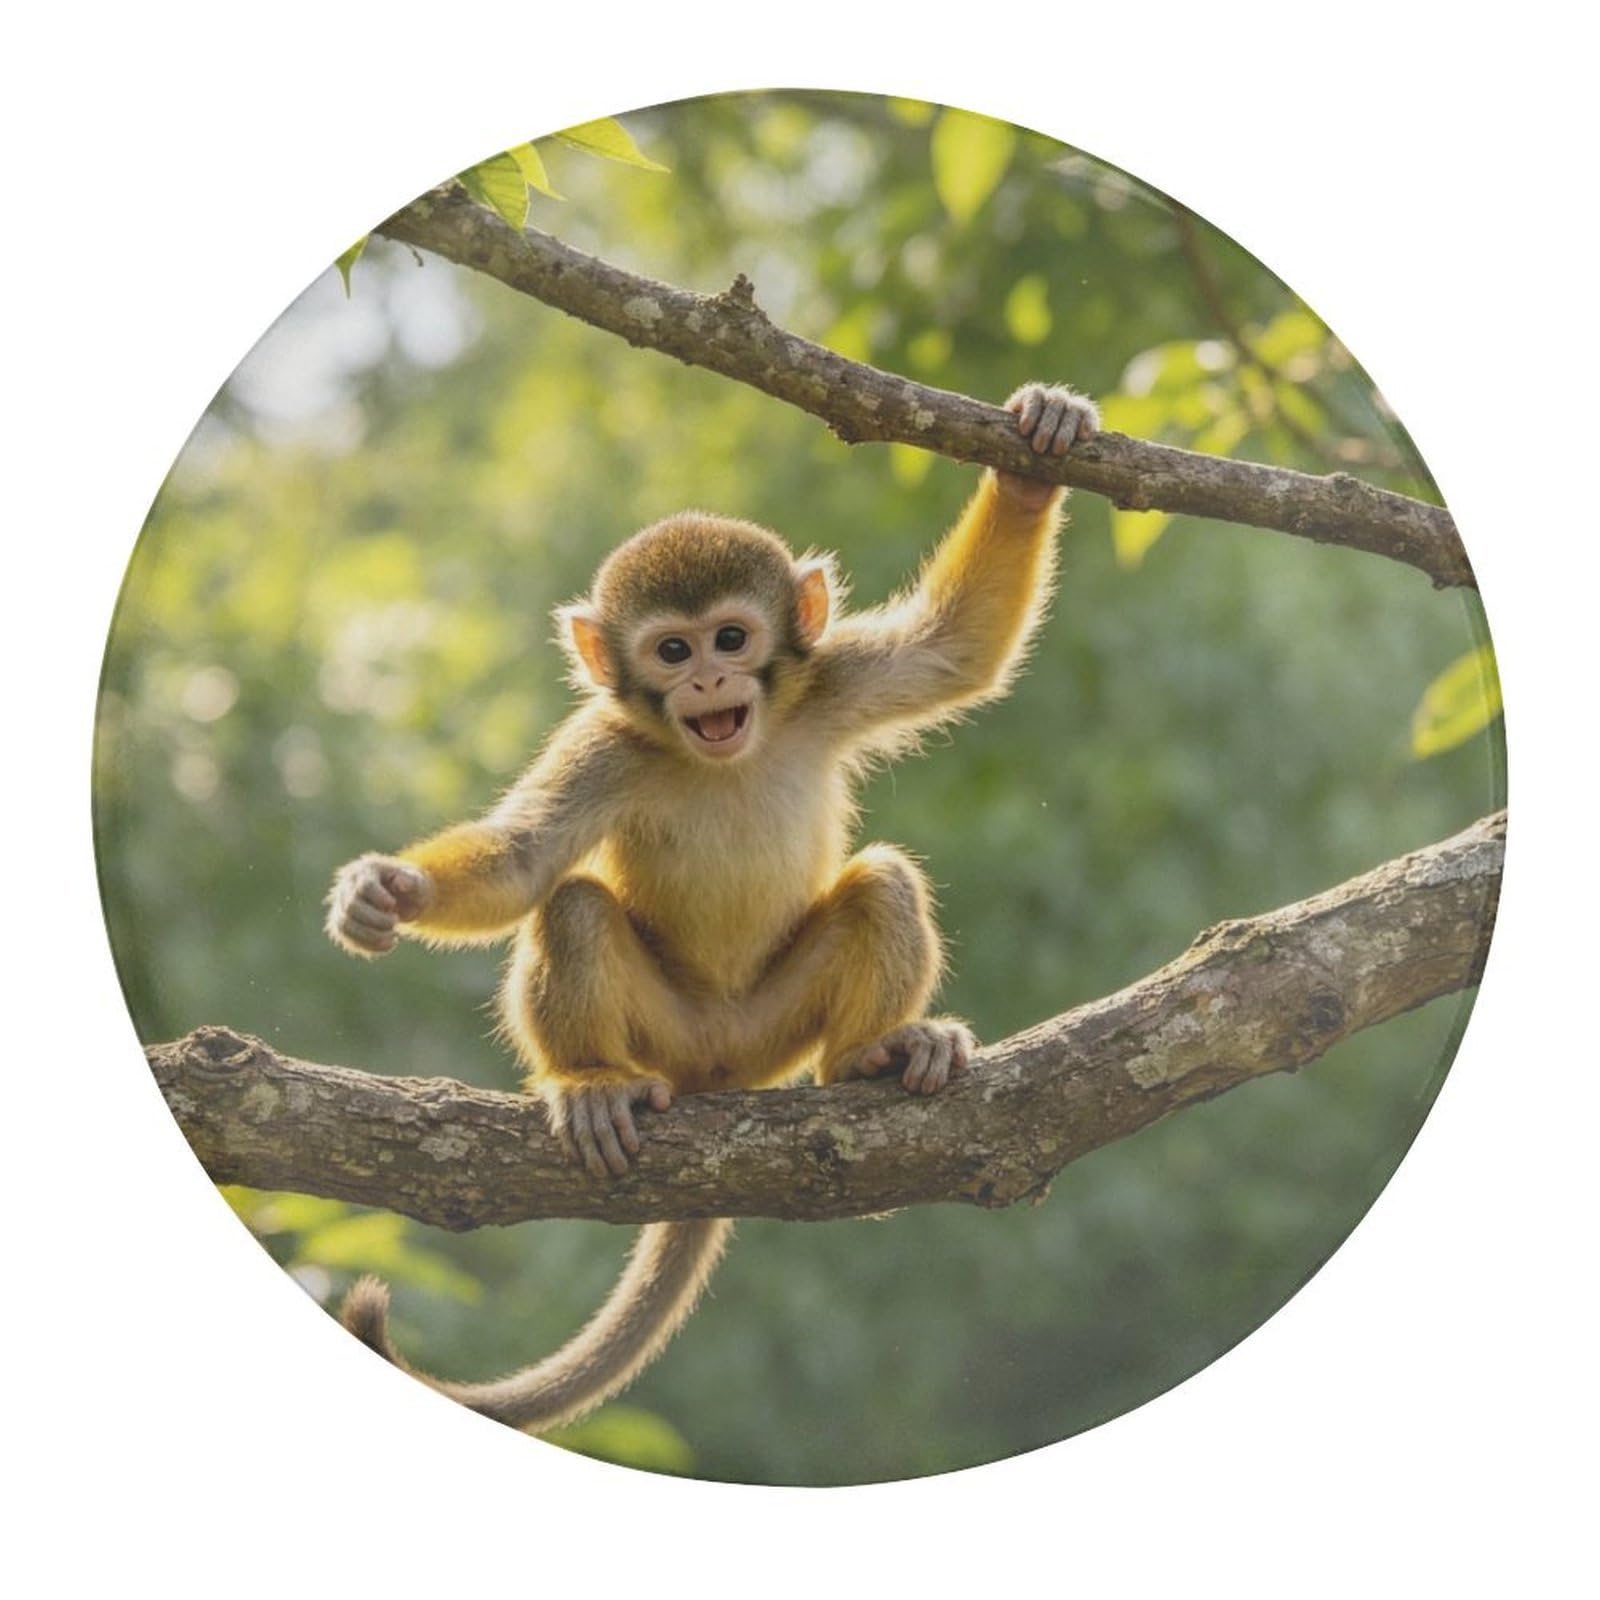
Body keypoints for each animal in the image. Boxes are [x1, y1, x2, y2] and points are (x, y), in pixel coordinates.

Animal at [324, 381, 1098, 1433]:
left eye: (732, 638)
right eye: (671, 649)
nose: (707, 681)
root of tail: (716, 1073)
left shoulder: (829, 681)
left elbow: (956, 651)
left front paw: (1034, 457)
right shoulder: (602, 741)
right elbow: (527, 864)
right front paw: (388, 892)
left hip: (775, 1035)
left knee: (882, 882)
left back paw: (871, 1055)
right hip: (670, 1035)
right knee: (573, 906)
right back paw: (590, 1083)